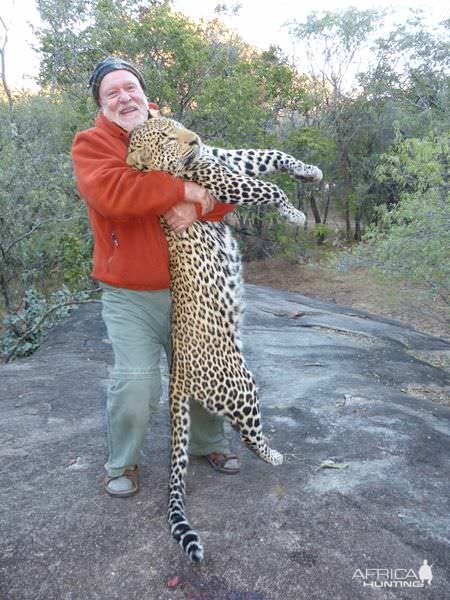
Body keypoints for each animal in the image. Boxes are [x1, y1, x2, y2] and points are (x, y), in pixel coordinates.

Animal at [128, 117, 322, 564]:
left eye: (176, 125)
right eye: (167, 138)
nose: (195, 139)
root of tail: (177, 374)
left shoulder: (229, 159)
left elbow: (275, 155)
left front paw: (311, 172)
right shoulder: (225, 181)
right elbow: (270, 189)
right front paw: (295, 214)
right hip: (243, 384)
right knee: (250, 435)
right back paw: (274, 455)